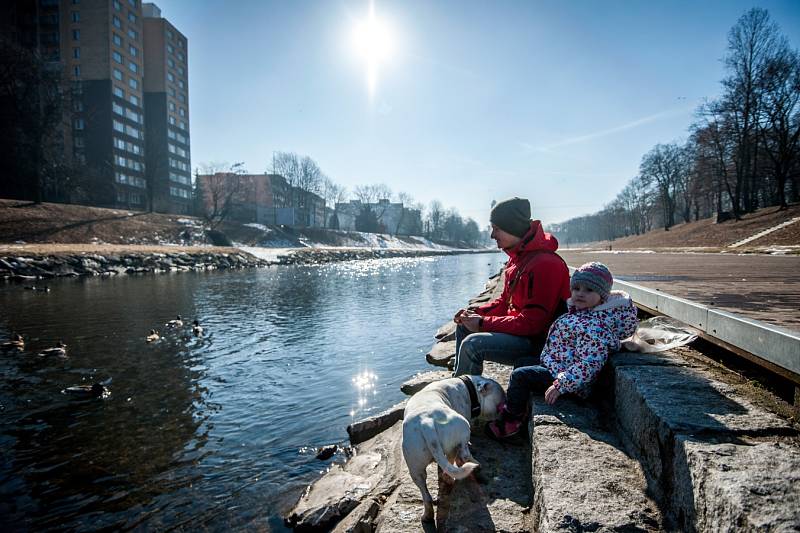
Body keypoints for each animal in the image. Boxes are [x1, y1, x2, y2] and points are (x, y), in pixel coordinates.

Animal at [400, 374, 506, 520]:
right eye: (500, 406)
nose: (503, 418)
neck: (471, 388)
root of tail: (427, 423)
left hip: (414, 465)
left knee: (425, 492)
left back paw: (427, 515)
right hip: (462, 428)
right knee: (461, 455)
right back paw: (473, 465)